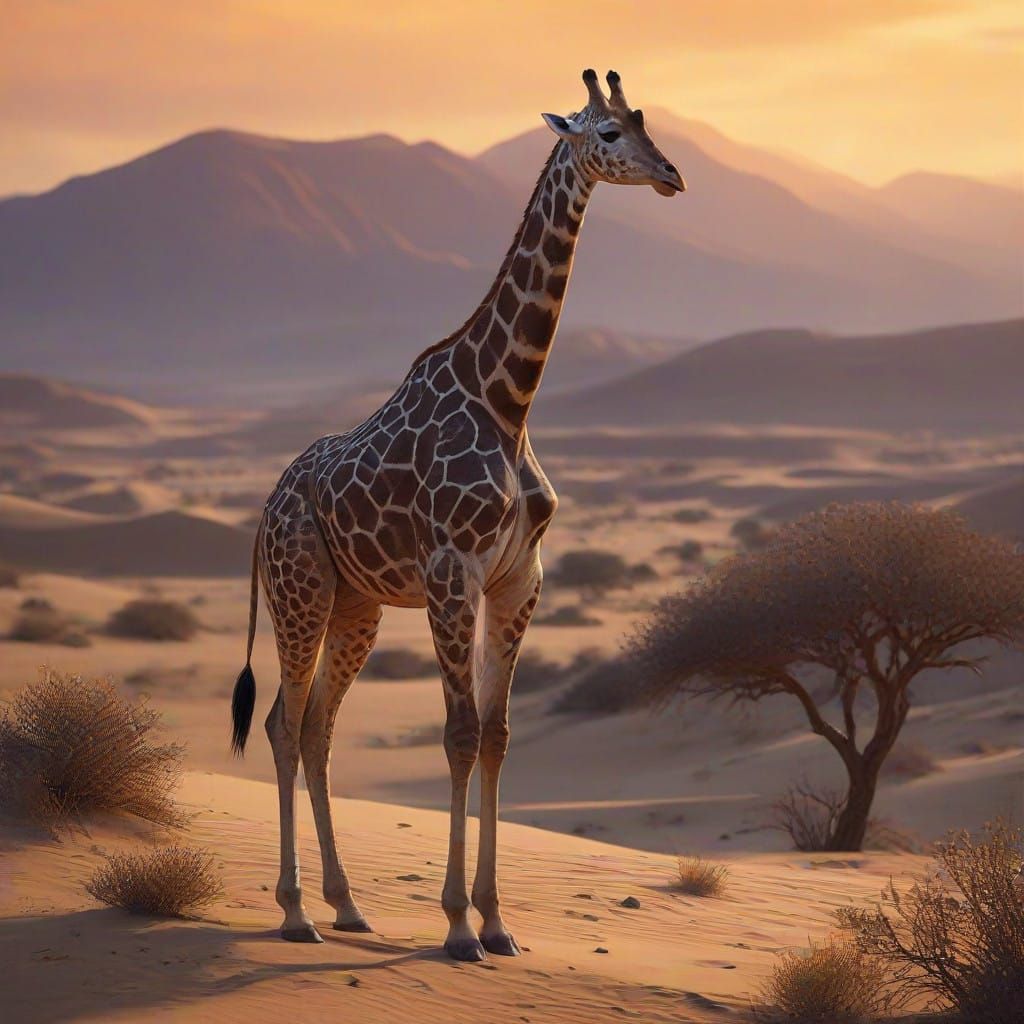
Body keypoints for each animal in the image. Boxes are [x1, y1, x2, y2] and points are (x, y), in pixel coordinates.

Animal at [231, 68, 685, 962]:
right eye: (608, 133)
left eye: (648, 121)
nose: (672, 176)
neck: (508, 399)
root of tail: (266, 507)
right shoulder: (452, 574)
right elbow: (460, 734)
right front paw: (456, 927)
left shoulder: (519, 579)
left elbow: (500, 735)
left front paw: (498, 922)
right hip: (302, 590)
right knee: (281, 723)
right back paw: (297, 912)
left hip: (357, 604)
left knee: (317, 729)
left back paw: (347, 905)